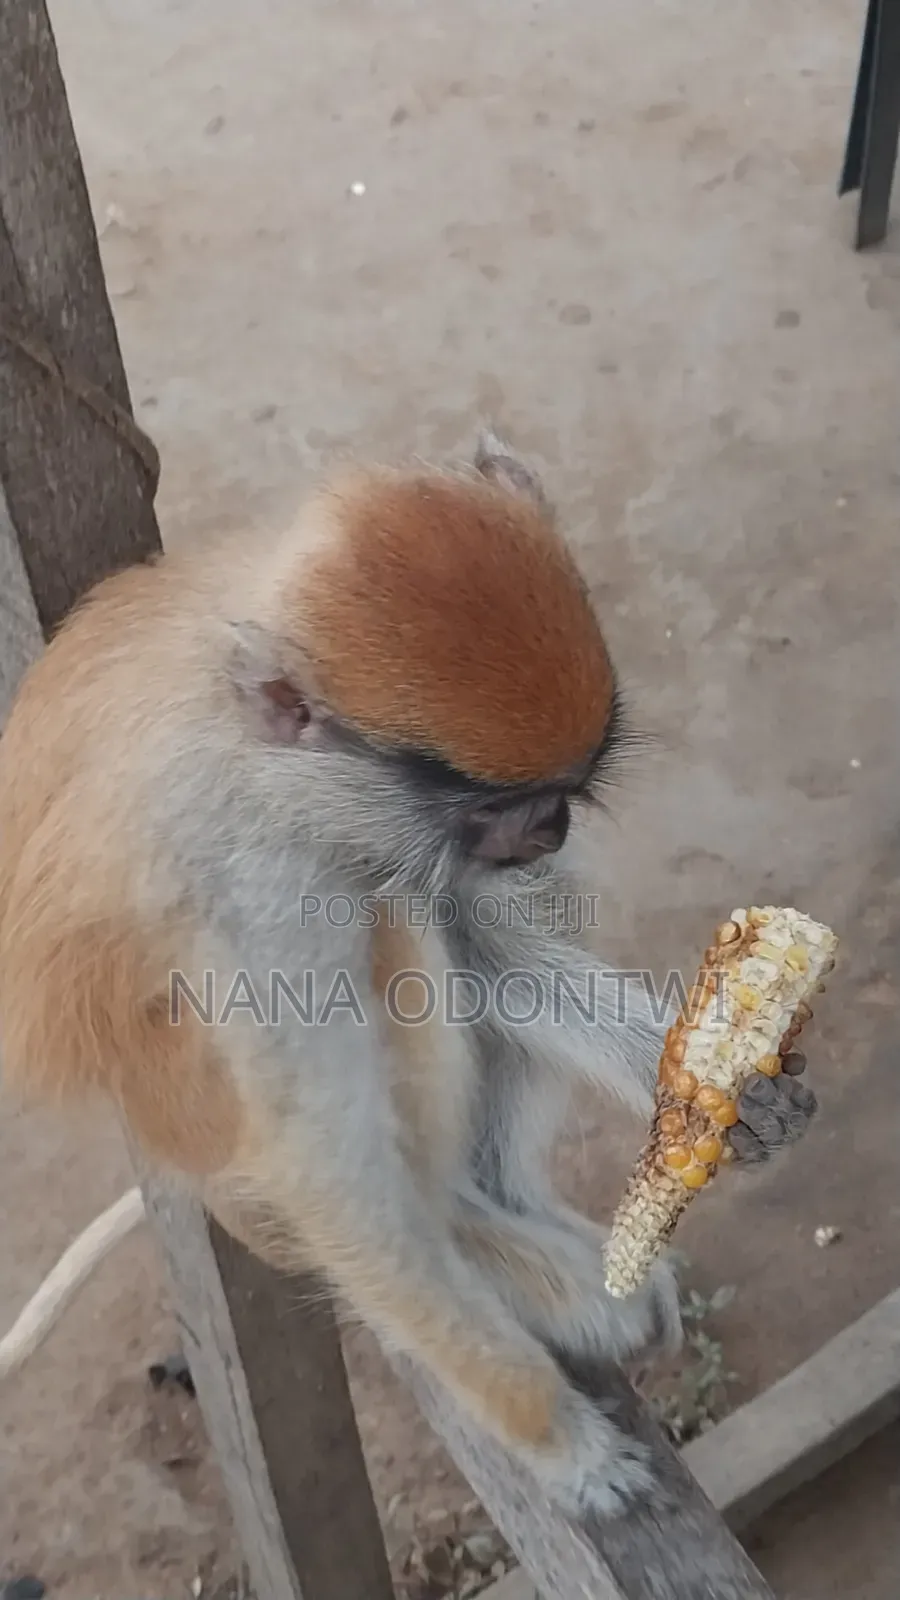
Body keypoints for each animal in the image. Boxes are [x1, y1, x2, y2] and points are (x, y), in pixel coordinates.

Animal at [0, 433, 817, 1515]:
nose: (551, 827)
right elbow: (329, 1171)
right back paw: (475, 1233)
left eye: (561, 792)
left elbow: (496, 944)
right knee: (397, 935)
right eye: (497, 805)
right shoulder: (258, 891)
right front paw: (561, 1444)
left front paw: (736, 1096)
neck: (264, 756)